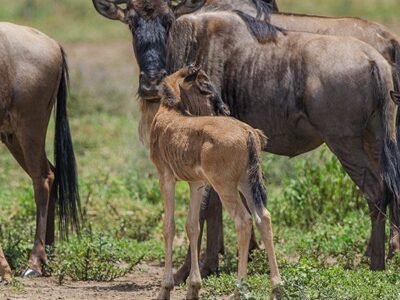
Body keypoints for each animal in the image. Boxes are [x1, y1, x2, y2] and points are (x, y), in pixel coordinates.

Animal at [149, 66, 282, 300]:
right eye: (204, 88)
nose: (225, 109)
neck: (170, 111)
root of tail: (248, 132)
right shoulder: (197, 183)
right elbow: (192, 226)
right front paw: (193, 288)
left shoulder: (165, 177)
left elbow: (169, 226)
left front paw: (165, 289)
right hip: (246, 184)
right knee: (263, 218)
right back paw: (277, 288)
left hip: (225, 186)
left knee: (243, 221)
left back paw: (239, 290)